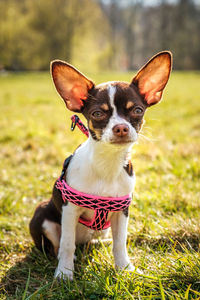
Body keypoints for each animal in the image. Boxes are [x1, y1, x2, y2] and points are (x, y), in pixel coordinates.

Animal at [29, 50, 172, 280]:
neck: (108, 164)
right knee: (59, 245)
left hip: (102, 229)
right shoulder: (70, 210)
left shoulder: (122, 212)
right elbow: (66, 243)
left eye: (138, 110)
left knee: (97, 241)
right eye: (97, 113)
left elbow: (120, 243)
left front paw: (125, 268)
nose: (121, 127)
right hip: (42, 213)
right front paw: (64, 273)